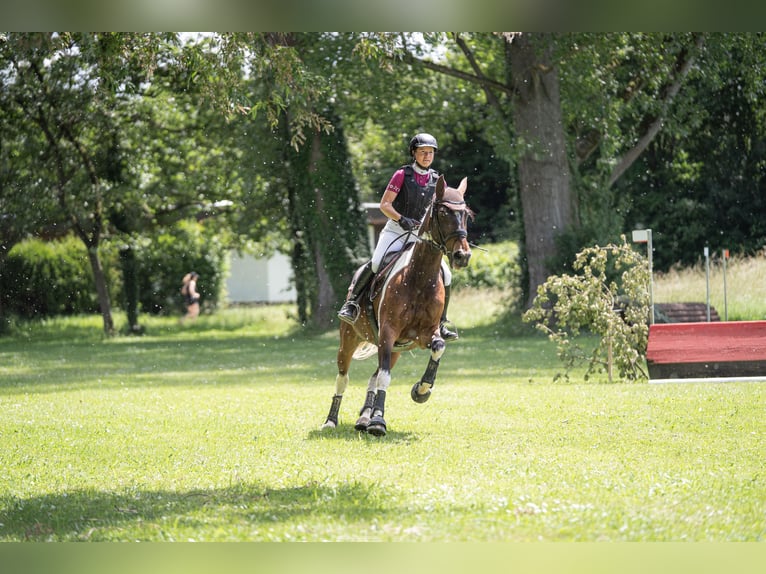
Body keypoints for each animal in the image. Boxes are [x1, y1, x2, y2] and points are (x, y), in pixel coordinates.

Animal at [321, 175, 473, 436]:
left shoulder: (424, 334)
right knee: (344, 377)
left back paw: (364, 417)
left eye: (466, 214)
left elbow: (439, 347)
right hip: (350, 339)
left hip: (395, 350)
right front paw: (378, 422)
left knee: (373, 377)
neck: (420, 277)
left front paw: (421, 390)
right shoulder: (388, 332)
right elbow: (384, 378)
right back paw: (332, 420)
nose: (462, 256)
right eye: (443, 212)